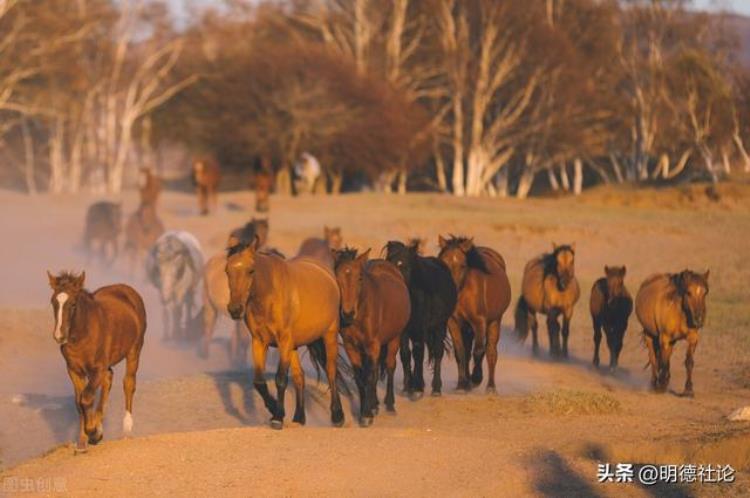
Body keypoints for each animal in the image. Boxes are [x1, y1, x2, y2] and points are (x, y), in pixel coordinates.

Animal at [47, 270, 148, 454]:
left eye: (73, 304)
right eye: (53, 302)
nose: (59, 336)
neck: (82, 335)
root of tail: (127, 290)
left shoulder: (97, 369)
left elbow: (86, 398)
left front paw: (94, 434)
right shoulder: (73, 370)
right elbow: (79, 402)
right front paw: (82, 442)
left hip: (134, 350)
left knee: (128, 383)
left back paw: (126, 428)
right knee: (109, 378)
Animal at [225, 237, 346, 428]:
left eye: (251, 270)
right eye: (227, 270)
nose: (235, 309)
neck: (269, 296)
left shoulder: (283, 342)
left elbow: (280, 378)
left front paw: (277, 417)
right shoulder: (259, 342)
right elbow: (259, 382)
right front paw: (274, 407)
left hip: (329, 335)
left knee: (331, 371)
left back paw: (337, 416)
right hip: (294, 346)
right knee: (299, 376)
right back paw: (299, 417)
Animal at [334, 247, 412, 426]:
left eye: (359, 278)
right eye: (337, 277)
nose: (348, 314)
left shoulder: (373, 345)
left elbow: (370, 376)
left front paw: (367, 415)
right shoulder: (351, 346)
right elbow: (360, 377)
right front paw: (365, 410)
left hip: (394, 339)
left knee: (389, 366)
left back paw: (389, 405)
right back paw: (375, 404)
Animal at [388, 239, 458, 398]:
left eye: (405, 266)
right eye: (389, 263)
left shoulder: (420, 329)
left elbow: (418, 354)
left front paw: (417, 387)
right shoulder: (404, 331)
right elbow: (405, 354)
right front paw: (408, 386)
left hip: (440, 325)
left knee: (437, 352)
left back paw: (436, 388)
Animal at [438, 235, 516, 392]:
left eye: (463, 265)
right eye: (444, 263)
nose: (451, 289)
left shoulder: (479, 322)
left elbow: (479, 350)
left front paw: (476, 379)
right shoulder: (453, 322)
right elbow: (460, 351)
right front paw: (462, 384)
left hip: (494, 322)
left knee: (491, 351)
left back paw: (490, 386)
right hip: (467, 327)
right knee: (468, 351)